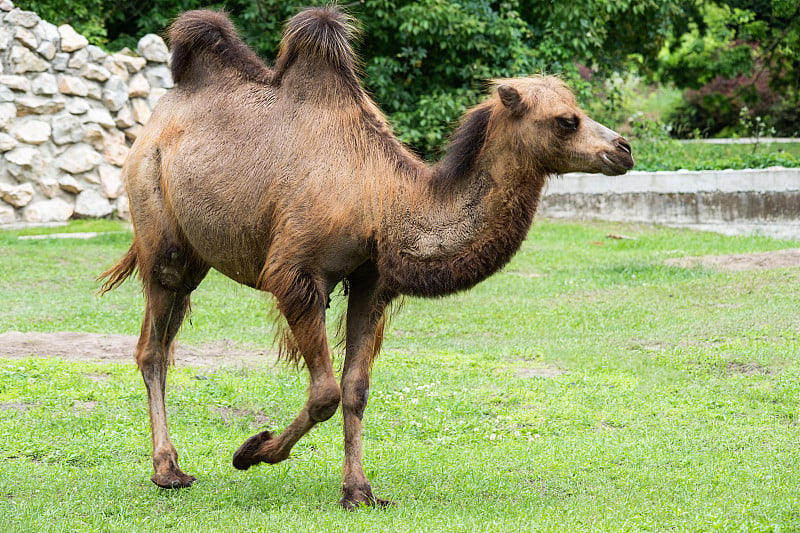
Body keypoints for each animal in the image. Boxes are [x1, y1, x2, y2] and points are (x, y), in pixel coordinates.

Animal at [100, 6, 636, 510]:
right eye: (567, 121)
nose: (624, 149)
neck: (382, 201)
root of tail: (158, 116)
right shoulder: (296, 273)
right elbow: (325, 393)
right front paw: (252, 451)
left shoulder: (371, 281)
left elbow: (356, 389)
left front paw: (358, 490)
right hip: (157, 222)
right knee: (153, 345)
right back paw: (167, 470)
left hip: (194, 251)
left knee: (166, 340)